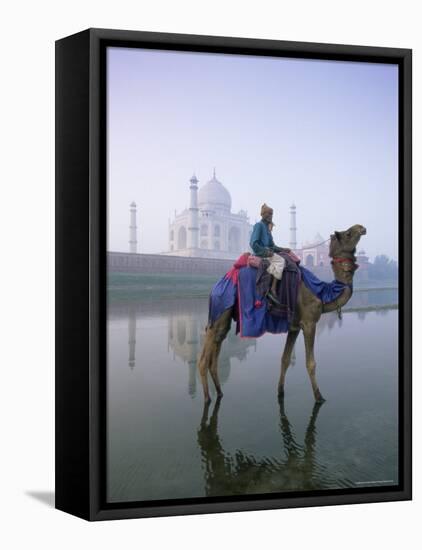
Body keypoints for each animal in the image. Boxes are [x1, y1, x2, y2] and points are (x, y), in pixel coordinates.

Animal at [198, 224, 366, 406]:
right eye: (348, 233)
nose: (362, 228)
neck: (321, 292)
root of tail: (217, 285)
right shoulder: (309, 322)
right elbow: (311, 363)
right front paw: (319, 397)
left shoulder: (294, 326)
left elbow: (285, 359)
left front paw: (280, 392)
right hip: (221, 306)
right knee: (204, 358)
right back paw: (207, 398)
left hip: (224, 314)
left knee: (217, 346)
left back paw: (220, 393)